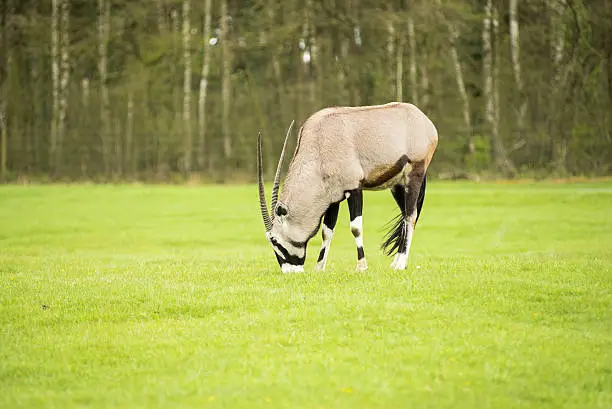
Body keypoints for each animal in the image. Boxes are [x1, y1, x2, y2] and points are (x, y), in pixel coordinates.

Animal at [256, 101, 438, 272]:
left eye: (274, 240)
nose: (290, 271)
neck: (319, 147)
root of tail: (425, 122)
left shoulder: (354, 189)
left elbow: (355, 227)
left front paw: (361, 266)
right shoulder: (332, 198)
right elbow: (326, 231)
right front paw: (319, 268)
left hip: (414, 176)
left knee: (410, 216)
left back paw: (400, 264)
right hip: (397, 185)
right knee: (406, 216)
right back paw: (396, 262)